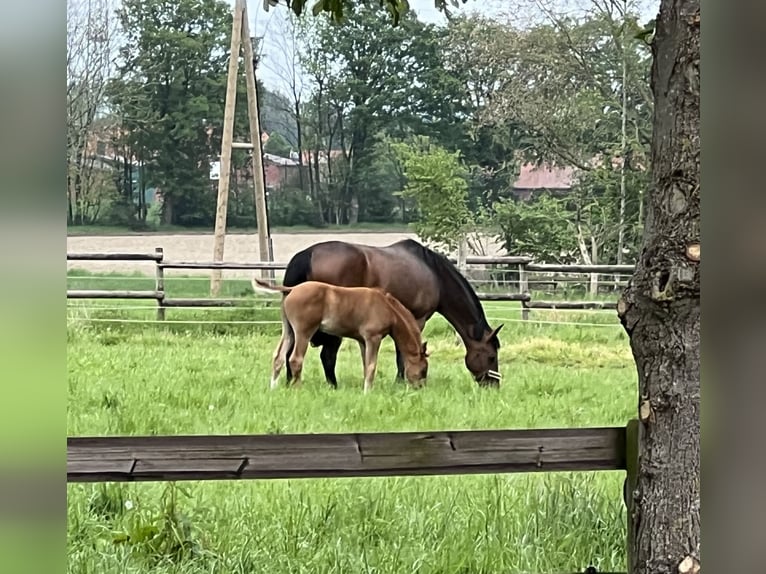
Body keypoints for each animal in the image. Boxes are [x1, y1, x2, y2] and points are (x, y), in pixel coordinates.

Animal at [254, 280, 428, 396]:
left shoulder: (362, 341)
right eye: (424, 369)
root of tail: (293, 288)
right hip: (303, 332)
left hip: (288, 331)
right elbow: (372, 366)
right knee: (295, 359)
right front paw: (367, 393)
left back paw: (273, 388)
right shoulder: (373, 338)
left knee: (278, 357)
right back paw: (298, 390)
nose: (420, 388)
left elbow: (366, 365)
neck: (388, 307)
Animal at [268, 238, 504, 392]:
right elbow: (402, 353)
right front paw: (401, 381)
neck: (434, 274)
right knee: (325, 356)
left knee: (289, 354)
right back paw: (331, 386)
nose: (493, 385)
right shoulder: (417, 319)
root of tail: (306, 255)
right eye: (491, 357)